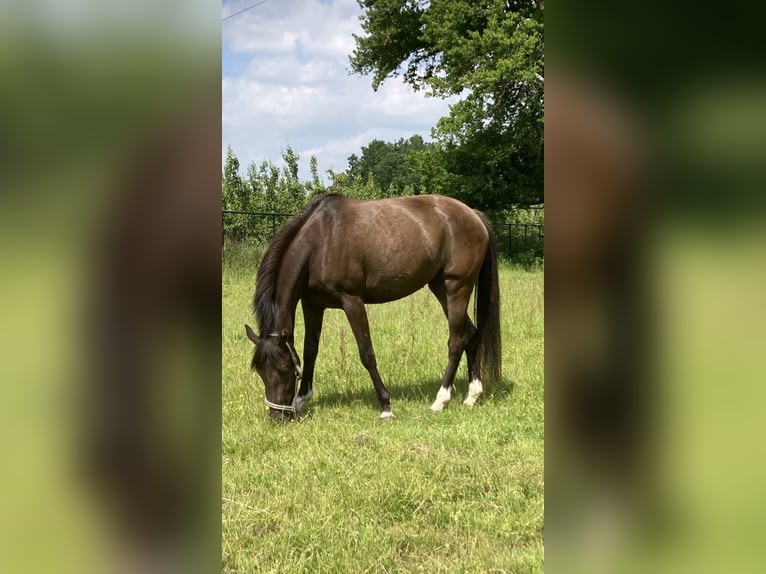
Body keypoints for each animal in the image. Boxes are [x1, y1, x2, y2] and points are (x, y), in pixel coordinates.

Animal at [246, 194, 508, 424]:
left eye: (283, 369)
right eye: (260, 371)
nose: (278, 417)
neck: (320, 242)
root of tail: (473, 215)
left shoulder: (352, 301)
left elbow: (367, 354)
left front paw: (385, 407)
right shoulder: (312, 304)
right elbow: (310, 351)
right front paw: (302, 401)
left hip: (457, 287)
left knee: (456, 341)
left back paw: (440, 400)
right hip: (440, 287)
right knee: (471, 335)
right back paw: (472, 396)